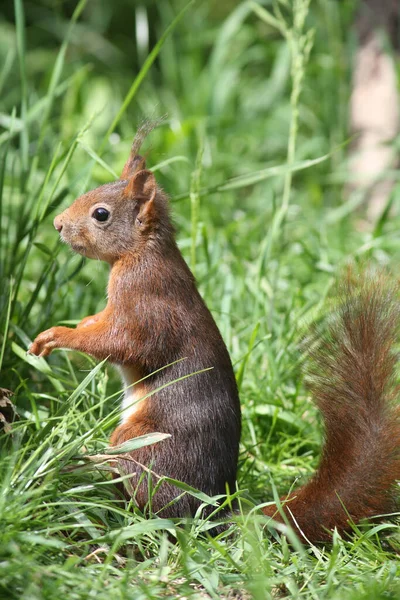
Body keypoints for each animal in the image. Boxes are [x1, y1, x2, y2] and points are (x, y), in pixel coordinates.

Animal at [29, 127, 400, 544]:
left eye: (101, 214)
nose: (57, 223)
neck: (141, 252)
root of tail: (210, 513)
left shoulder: (146, 304)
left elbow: (123, 343)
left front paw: (58, 335)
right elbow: (101, 325)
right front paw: (80, 322)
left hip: (142, 447)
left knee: (150, 500)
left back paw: (95, 479)